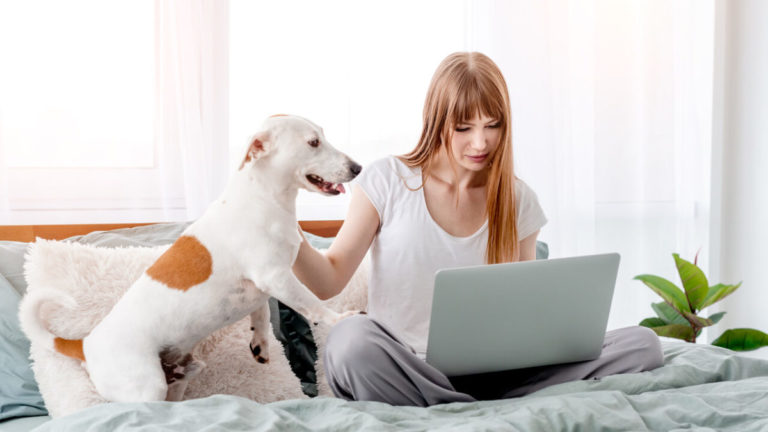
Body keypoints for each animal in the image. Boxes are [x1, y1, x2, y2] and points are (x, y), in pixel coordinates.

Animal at [20, 114, 364, 402]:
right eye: (313, 142)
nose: (358, 168)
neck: (263, 198)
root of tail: (86, 344)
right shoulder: (276, 277)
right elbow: (313, 305)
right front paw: (339, 318)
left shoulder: (263, 288)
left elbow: (261, 315)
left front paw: (261, 344)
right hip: (146, 387)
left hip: (181, 375)